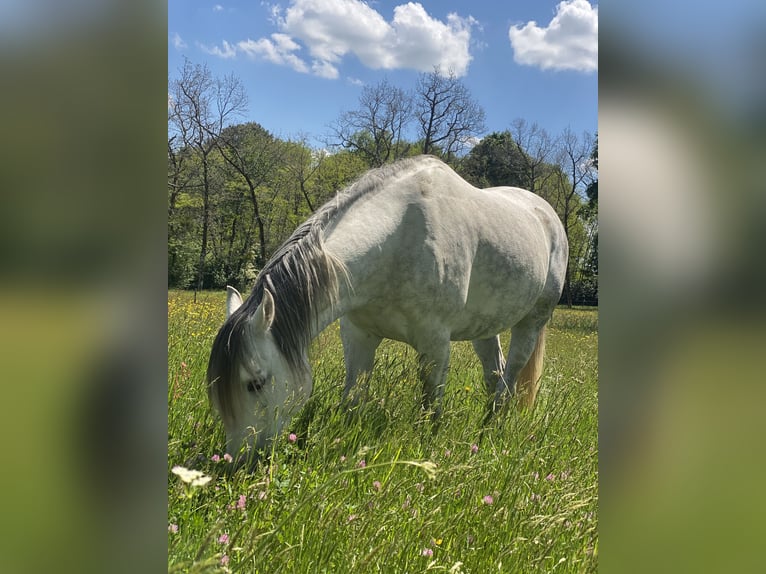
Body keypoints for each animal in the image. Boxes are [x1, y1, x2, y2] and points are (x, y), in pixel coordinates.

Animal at [207, 155, 568, 460]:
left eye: (255, 383)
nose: (236, 461)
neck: (396, 239)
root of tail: (547, 214)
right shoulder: (358, 335)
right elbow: (352, 398)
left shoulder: (435, 342)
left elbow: (430, 407)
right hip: (485, 326)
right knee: (495, 372)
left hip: (531, 323)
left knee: (510, 375)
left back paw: (491, 429)